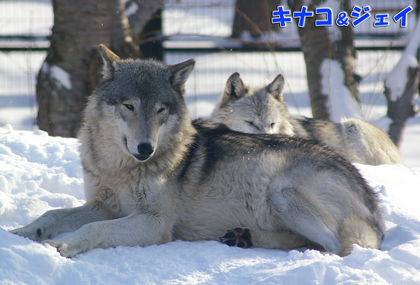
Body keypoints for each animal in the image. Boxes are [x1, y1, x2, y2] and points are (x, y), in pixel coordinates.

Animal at [9, 45, 386, 258]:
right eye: (129, 106)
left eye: (161, 110)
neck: (121, 168)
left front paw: (64, 245)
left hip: (282, 191)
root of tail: (375, 207)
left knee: (339, 247)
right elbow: (52, 214)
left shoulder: (154, 223)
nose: (145, 149)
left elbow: (94, 230)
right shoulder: (102, 205)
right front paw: (23, 233)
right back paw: (242, 237)